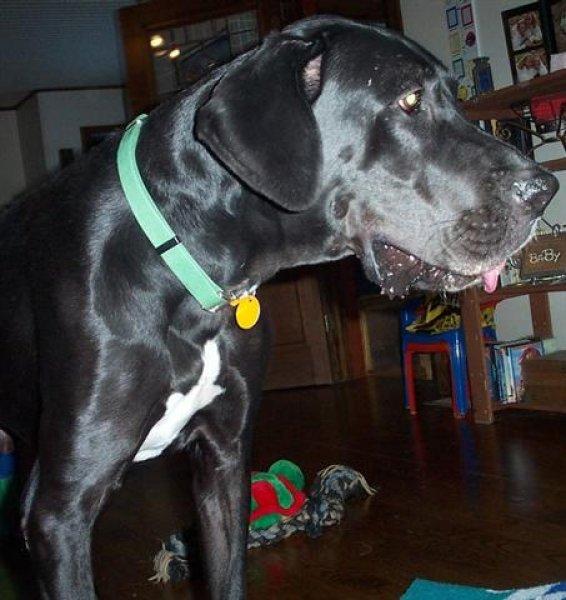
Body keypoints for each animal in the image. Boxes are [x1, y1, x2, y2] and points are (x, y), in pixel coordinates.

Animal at [0, 15, 558, 599]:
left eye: (454, 95)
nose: (545, 188)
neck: (190, 265)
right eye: (408, 100)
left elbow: (227, 575)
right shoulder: (60, 513)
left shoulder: (224, 462)